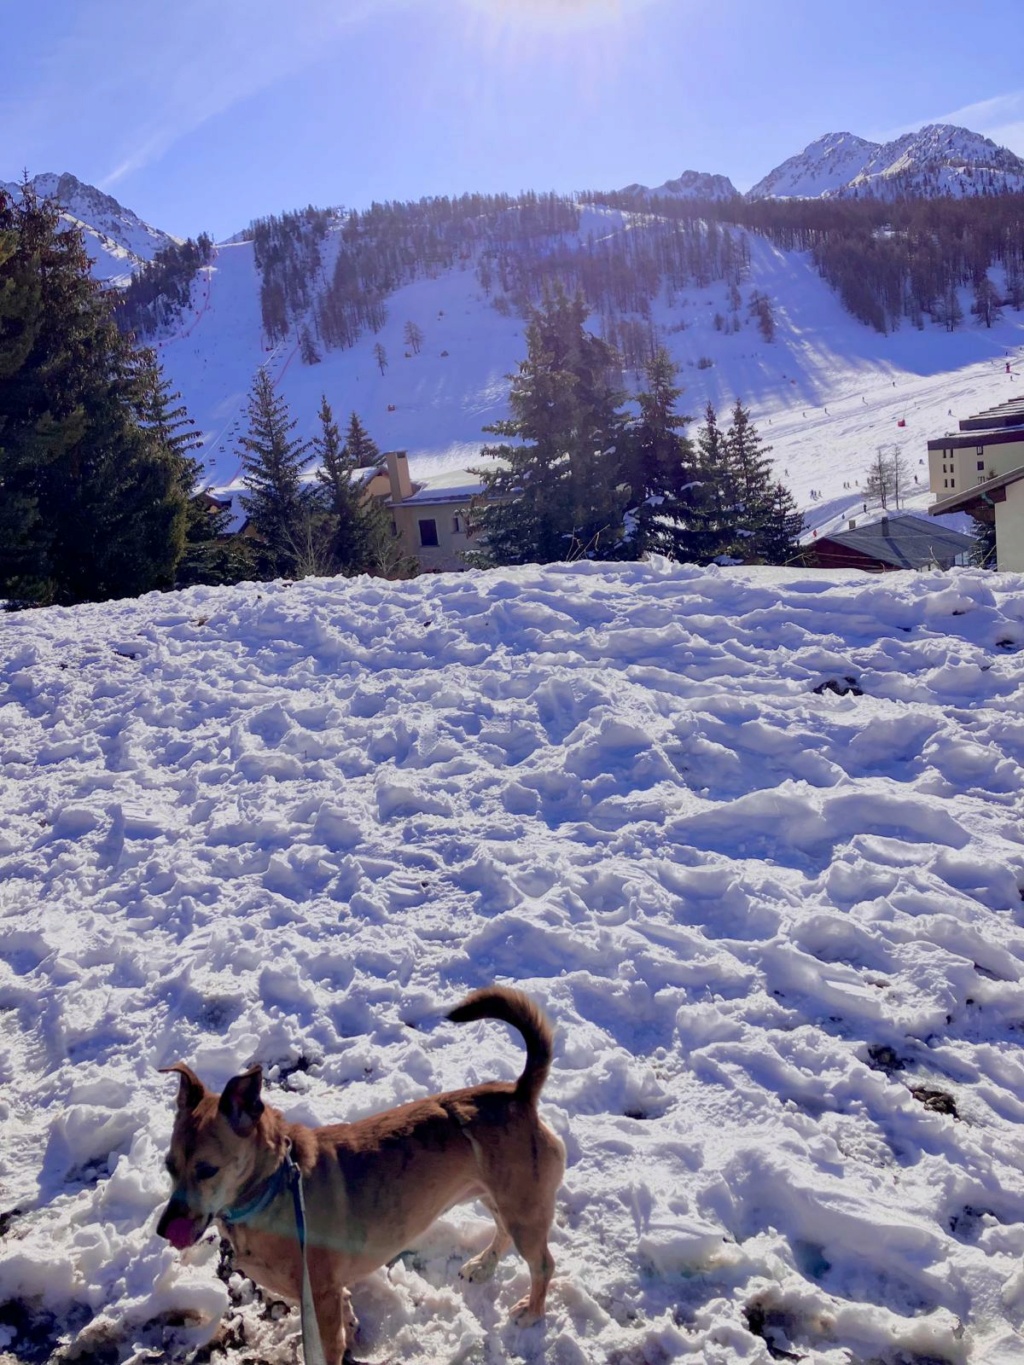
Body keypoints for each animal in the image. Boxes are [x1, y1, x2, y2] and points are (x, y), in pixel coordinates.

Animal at [156, 988, 565, 1359]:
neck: (271, 1188)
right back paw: (484, 1265)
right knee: (502, 1230)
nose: (163, 1229)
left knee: (543, 1263)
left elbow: (326, 1345)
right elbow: (344, 1308)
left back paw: (531, 1311)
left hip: (525, 1208)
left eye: (207, 1170)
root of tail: (519, 1093)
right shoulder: (324, 1292)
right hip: (497, 1195)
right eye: (169, 1166)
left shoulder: (320, 1296)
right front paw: (352, 1322)